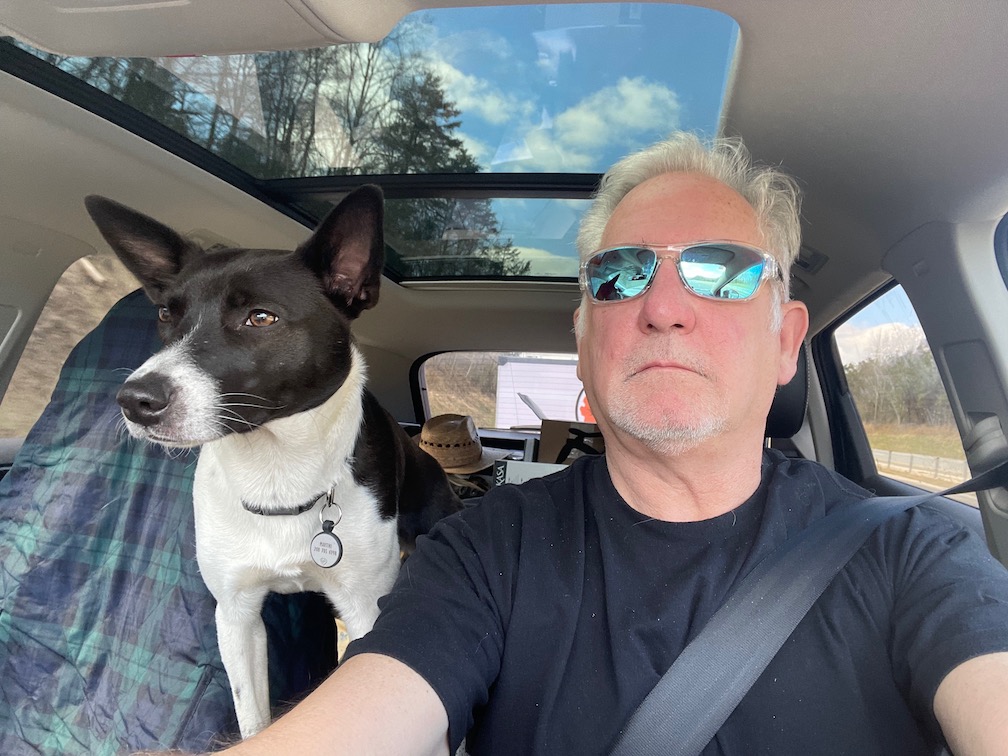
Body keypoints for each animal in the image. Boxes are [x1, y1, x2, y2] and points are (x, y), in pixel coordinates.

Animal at [85, 186, 462, 738]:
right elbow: (252, 718)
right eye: (165, 315)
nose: (135, 401)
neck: (278, 473)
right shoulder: (236, 616)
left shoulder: (367, 610)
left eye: (261, 318)